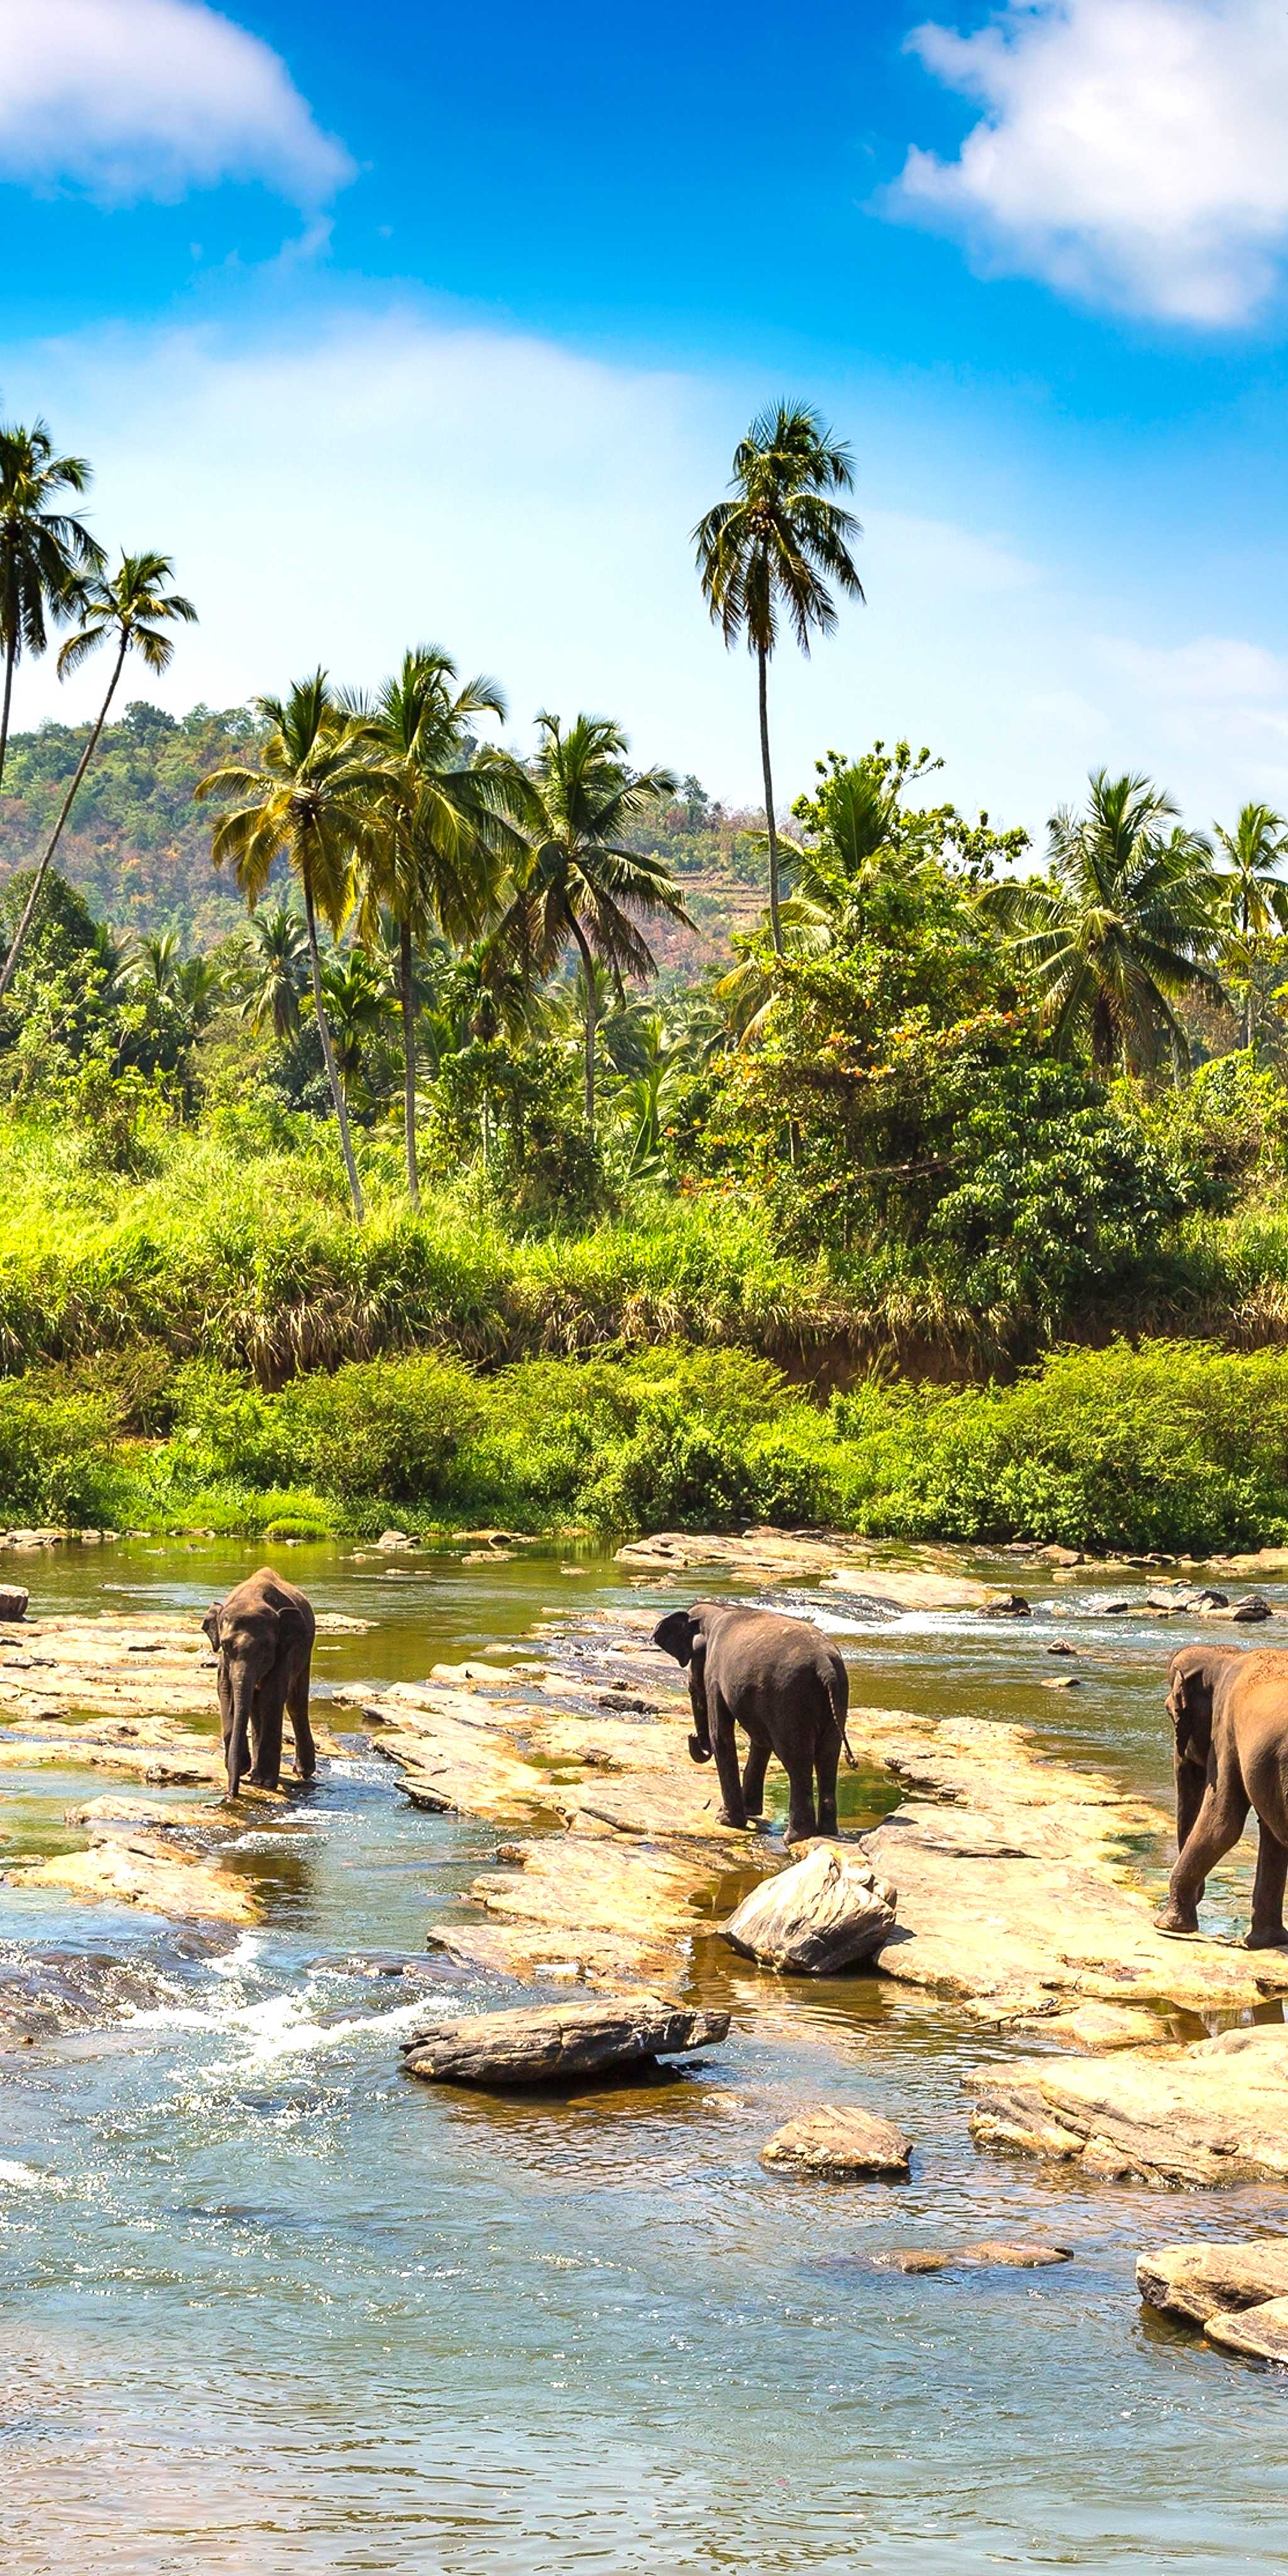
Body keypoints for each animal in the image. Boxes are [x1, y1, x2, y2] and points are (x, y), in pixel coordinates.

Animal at [203, 1565, 317, 1799]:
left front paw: (264, 1781)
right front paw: (242, 1768)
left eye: (266, 1648)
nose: (231, 1794)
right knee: (256, 1705)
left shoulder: (284, 1650)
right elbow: (225, 1692)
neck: (252, 1598)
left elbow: (273, 1696)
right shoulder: (225, 1662)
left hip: (305, 1651)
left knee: (295, 1704)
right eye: (225, 1646)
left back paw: (303, 1771)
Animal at [652, 1599, 853, 1844]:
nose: (691, 1737)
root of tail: (825, 1666)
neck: (717, 1611)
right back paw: (827, 1832)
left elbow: (721, 1735)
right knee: (828, 1756)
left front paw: (725, 1820)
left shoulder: (715, 1676)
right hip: (835, 1697)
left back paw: (795, 1837)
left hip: (790, 1698)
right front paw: (749, 1812)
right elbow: (760, 1740)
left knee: (797, 1760)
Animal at [1155, 1642, 1288, 1948]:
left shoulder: (1226, 1734)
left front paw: (1166, 1926)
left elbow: (1221, 1825)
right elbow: (1271, 1836)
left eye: (1171, 1713)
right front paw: (1269, 1941)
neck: (1228, 1656)